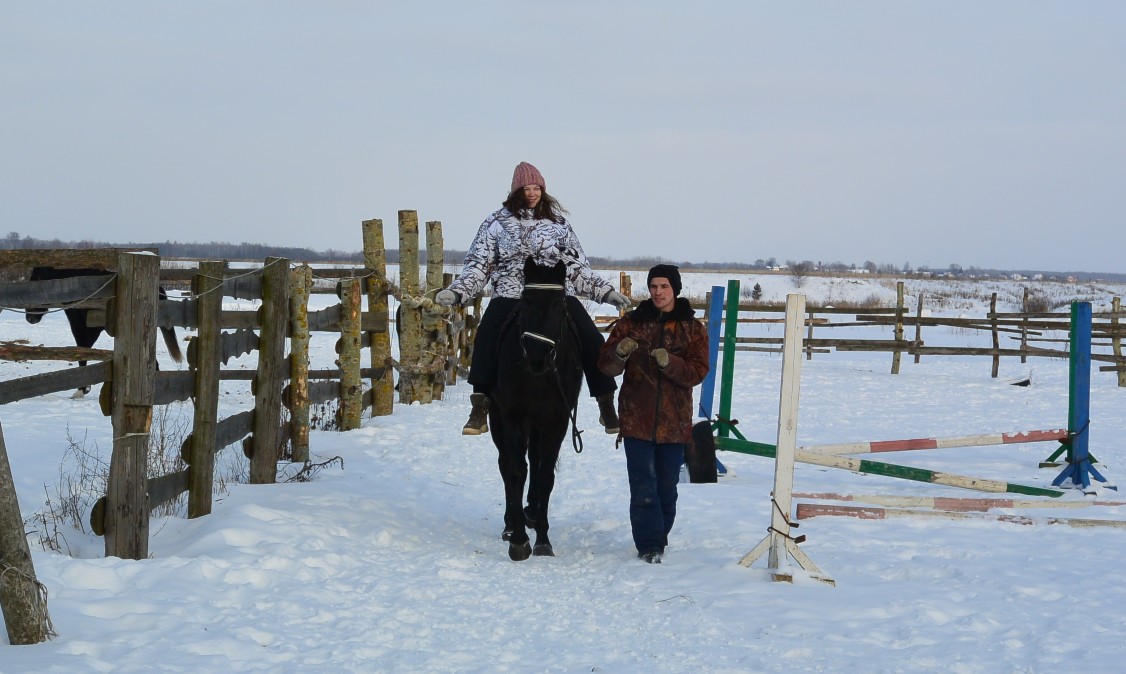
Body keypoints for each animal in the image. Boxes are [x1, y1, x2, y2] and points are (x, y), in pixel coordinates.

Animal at [490, 255, 585, 562]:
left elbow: (544, 476)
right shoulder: (513, 418)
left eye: (558, 305)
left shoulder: (557, 421)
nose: (537, 355)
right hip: (499, 420)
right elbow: (516, 471)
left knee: (535, 462)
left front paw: (543, 538)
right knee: (506, 465)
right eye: (526, 301)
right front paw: (519, 541)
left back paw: (531, 512)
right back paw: (511, 523)